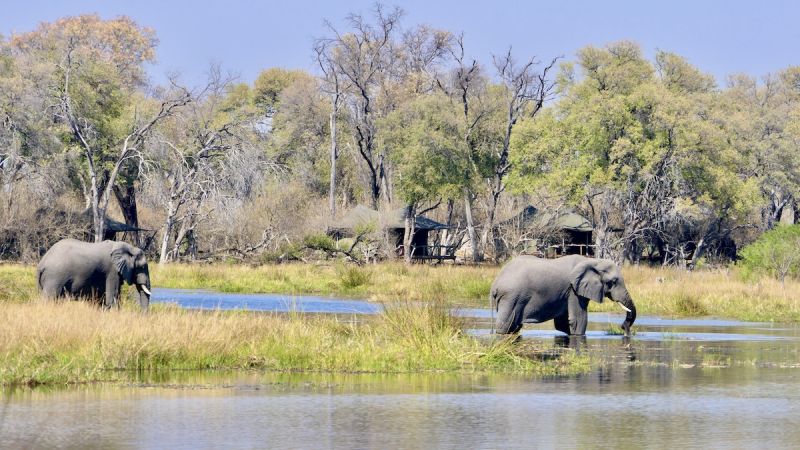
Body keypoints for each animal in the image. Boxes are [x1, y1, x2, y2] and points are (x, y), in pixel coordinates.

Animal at [488, 255, 636, 336]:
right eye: (613, 282)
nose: (624, 330)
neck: (592, 261)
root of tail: (495, 284)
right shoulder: (574, 289)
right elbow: (578, 319)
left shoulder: (569, 292)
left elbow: (562, 323)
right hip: (511, 297)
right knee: (505, 326)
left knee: (514, 327)